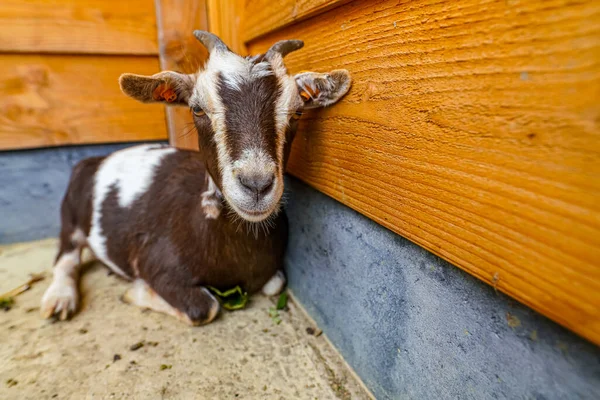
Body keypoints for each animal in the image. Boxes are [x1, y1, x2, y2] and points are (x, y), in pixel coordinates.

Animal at [41, 30, 352, 324]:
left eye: (297, 111)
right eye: (197, 109)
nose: (256, 186)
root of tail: (96, 160)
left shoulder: (271, 272)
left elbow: (275, 283)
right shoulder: (157, 263)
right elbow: (204, 307)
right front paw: (136, 291)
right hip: (70, 215)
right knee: (65, 255)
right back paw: (59, 299)